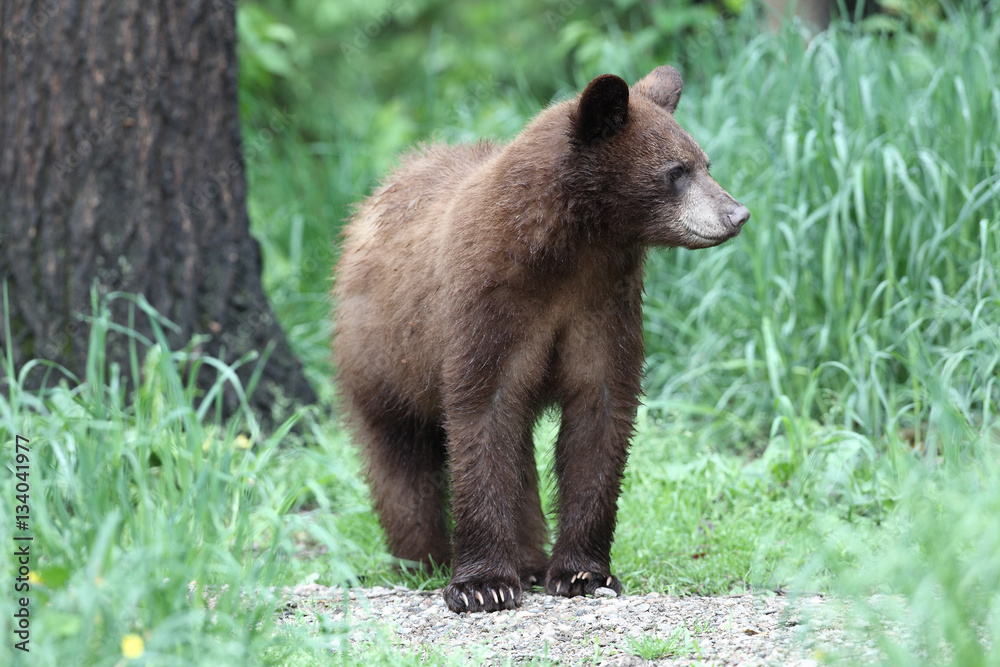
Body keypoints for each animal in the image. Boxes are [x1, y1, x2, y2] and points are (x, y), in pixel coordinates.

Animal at [332, 65, 748, 612]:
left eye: (705, 163)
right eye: (677, 171)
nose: (737, 214)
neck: (567, 249)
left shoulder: (602, 305)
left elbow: (600, 415)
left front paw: (583, 573)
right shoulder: (490, 304)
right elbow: (481, 415)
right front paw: (481, 585)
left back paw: (528, 560)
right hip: (381, 358)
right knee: (401, 459)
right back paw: (421, 558)